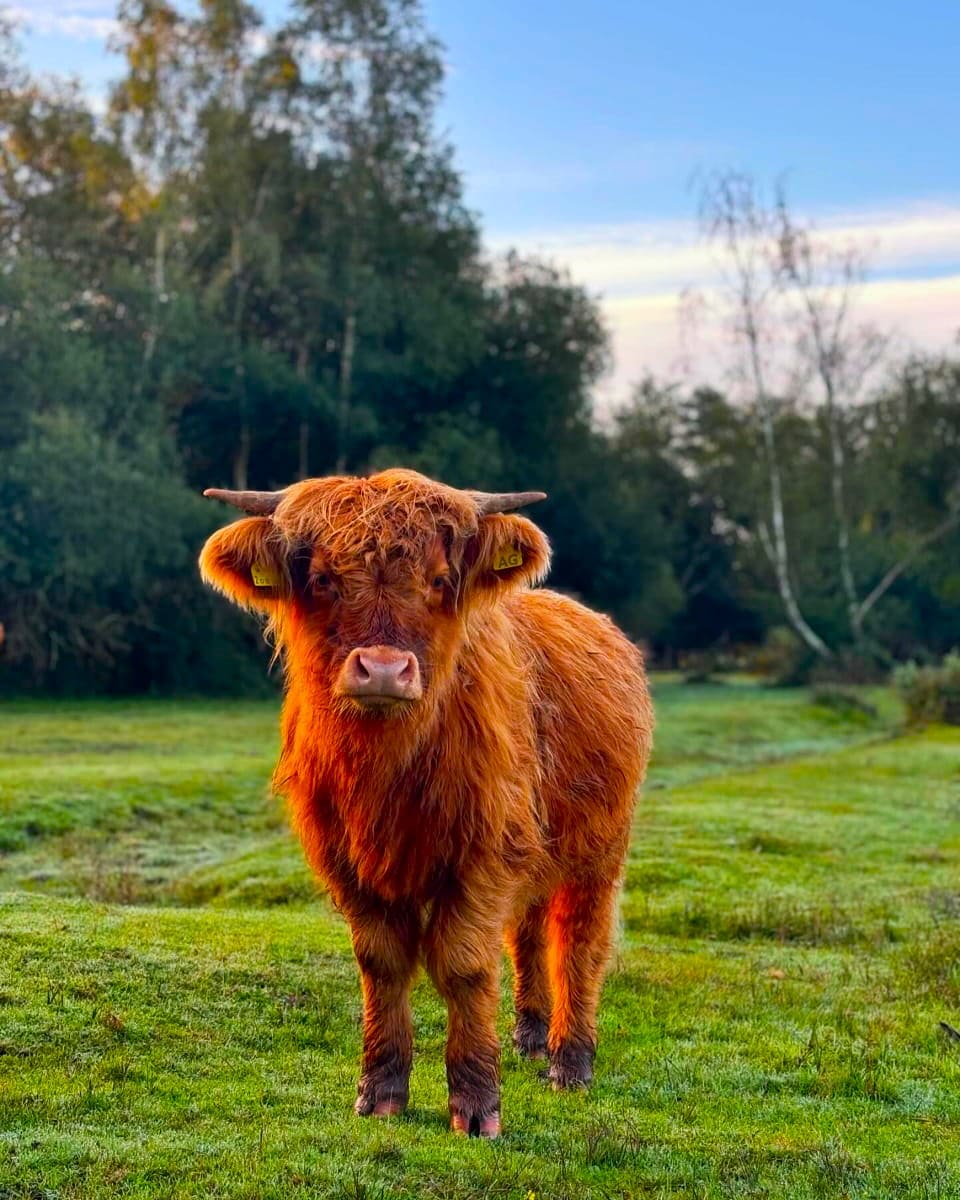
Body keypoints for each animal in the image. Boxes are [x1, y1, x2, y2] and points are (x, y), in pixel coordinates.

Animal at [201, 468, 652, 1132]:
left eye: (438, 580)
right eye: (323, 579)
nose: (384, 670)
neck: (386, 772)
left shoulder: (485, 854)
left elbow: (464, 965)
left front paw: (475, 1106)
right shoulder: (348, 861)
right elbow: (382, 963)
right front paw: (381, 1092)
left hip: (600, 848)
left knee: (579, 941)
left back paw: (569, 1063)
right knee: (528, 933)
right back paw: (529, 1037)